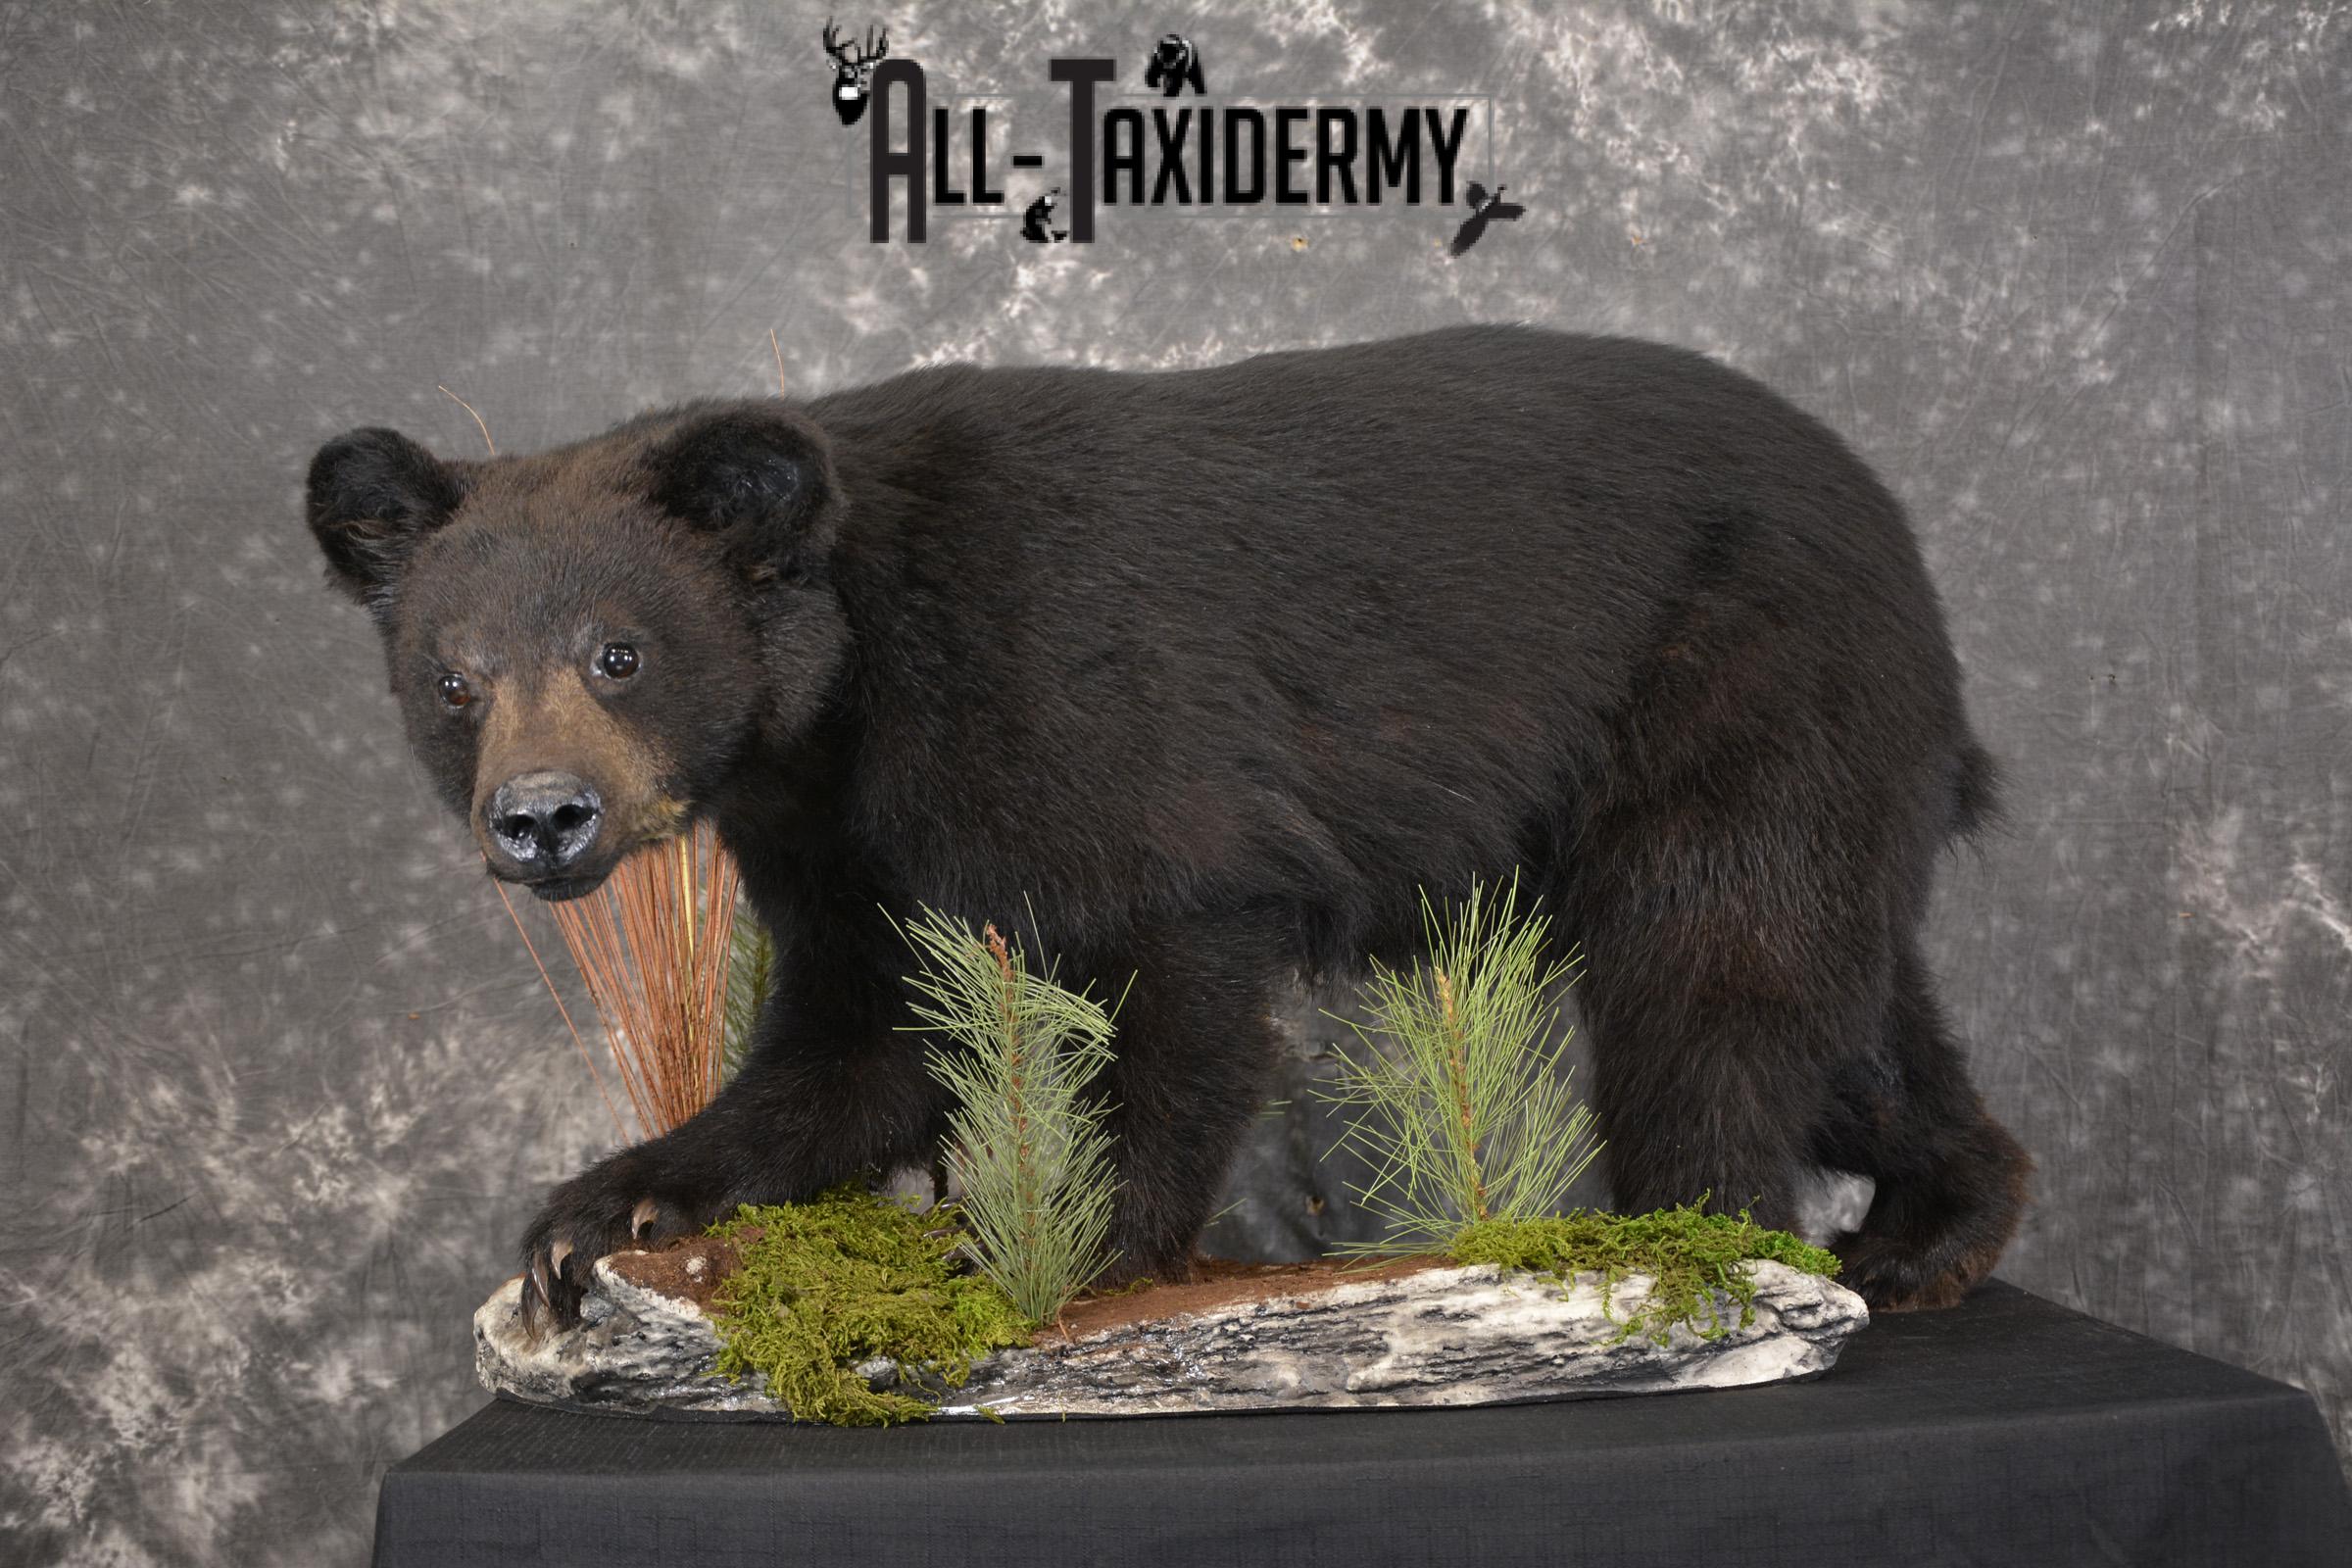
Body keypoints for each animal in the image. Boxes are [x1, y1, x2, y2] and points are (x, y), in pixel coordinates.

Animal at [304, 325, 2032, 1331]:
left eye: (620, 652)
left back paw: (1704, 1243)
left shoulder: (1067, 695)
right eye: (454, 679)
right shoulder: (837, 838)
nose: (542, 818)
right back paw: (1932, 1230)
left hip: (1749, 680)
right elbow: (861, 1037)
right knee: (1845, 1007)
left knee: (1715, 971)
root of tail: (1904, 540)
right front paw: (599, 1212)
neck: (851, 685)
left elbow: (1175, 960)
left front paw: (1064, 1253)